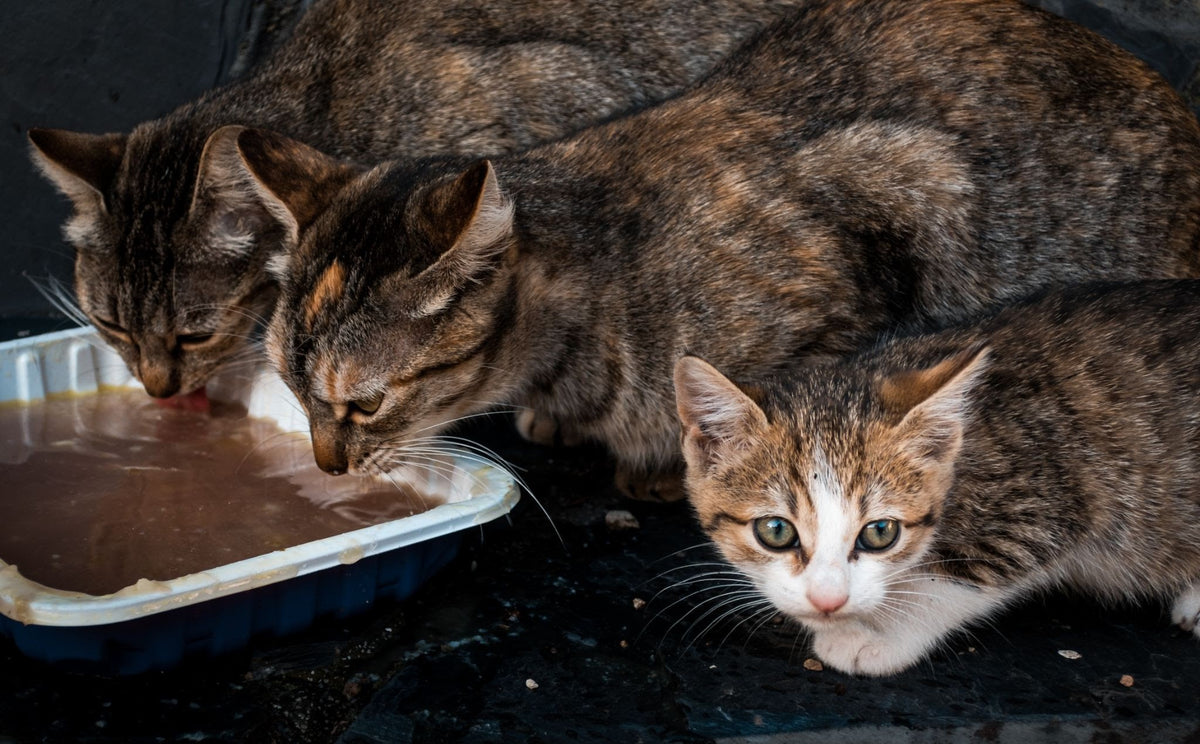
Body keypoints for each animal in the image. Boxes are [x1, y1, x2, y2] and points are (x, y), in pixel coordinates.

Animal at [676, 277, 1200, 672]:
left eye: (880, 532)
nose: (828, 601)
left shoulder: (1048, 491)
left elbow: (950, 583)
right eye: (776, 530)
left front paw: (878, 635)